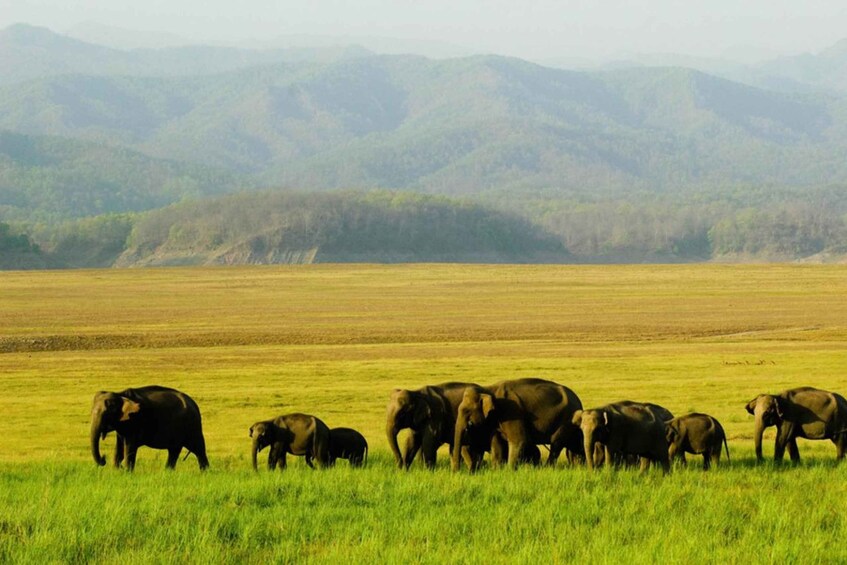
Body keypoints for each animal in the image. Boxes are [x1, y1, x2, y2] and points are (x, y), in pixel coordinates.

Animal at [451, 378, 584, 470]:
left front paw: (508, 471)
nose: (457, 472)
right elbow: (497, 443)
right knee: (574, 444)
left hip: (566, 419)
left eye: (466, 411)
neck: (489, 389)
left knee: (556, 443)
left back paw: (548, 468)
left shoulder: (512, 411)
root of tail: (579, 401)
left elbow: (519, 441)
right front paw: (497, 470)